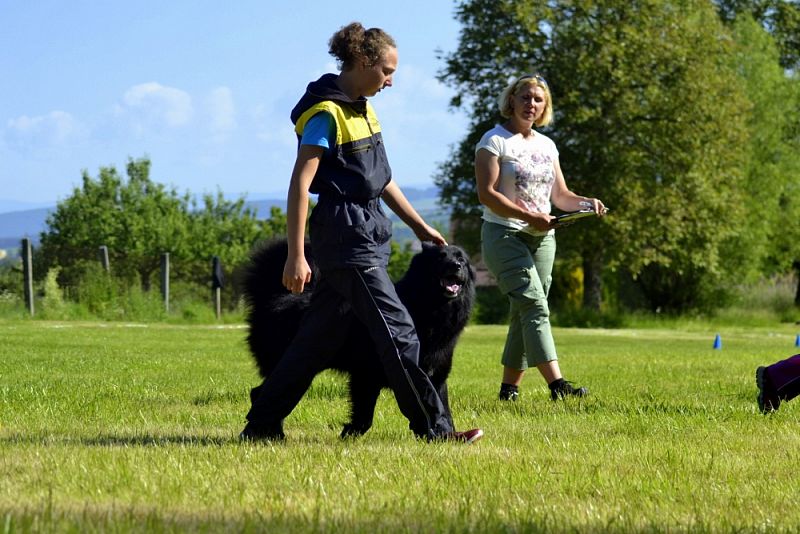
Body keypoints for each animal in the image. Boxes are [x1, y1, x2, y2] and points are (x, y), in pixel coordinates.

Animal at [241, 240, 472, 440]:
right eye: (440, 258)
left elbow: (442, 408)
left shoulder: (436, 376)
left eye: (461, 259)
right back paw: (272, 434)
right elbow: (364, 414)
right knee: (264, 392)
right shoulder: (365, 376)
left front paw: (447, 434)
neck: (430, 310)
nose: (456, 265)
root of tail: (272, 298)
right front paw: (350, 433)